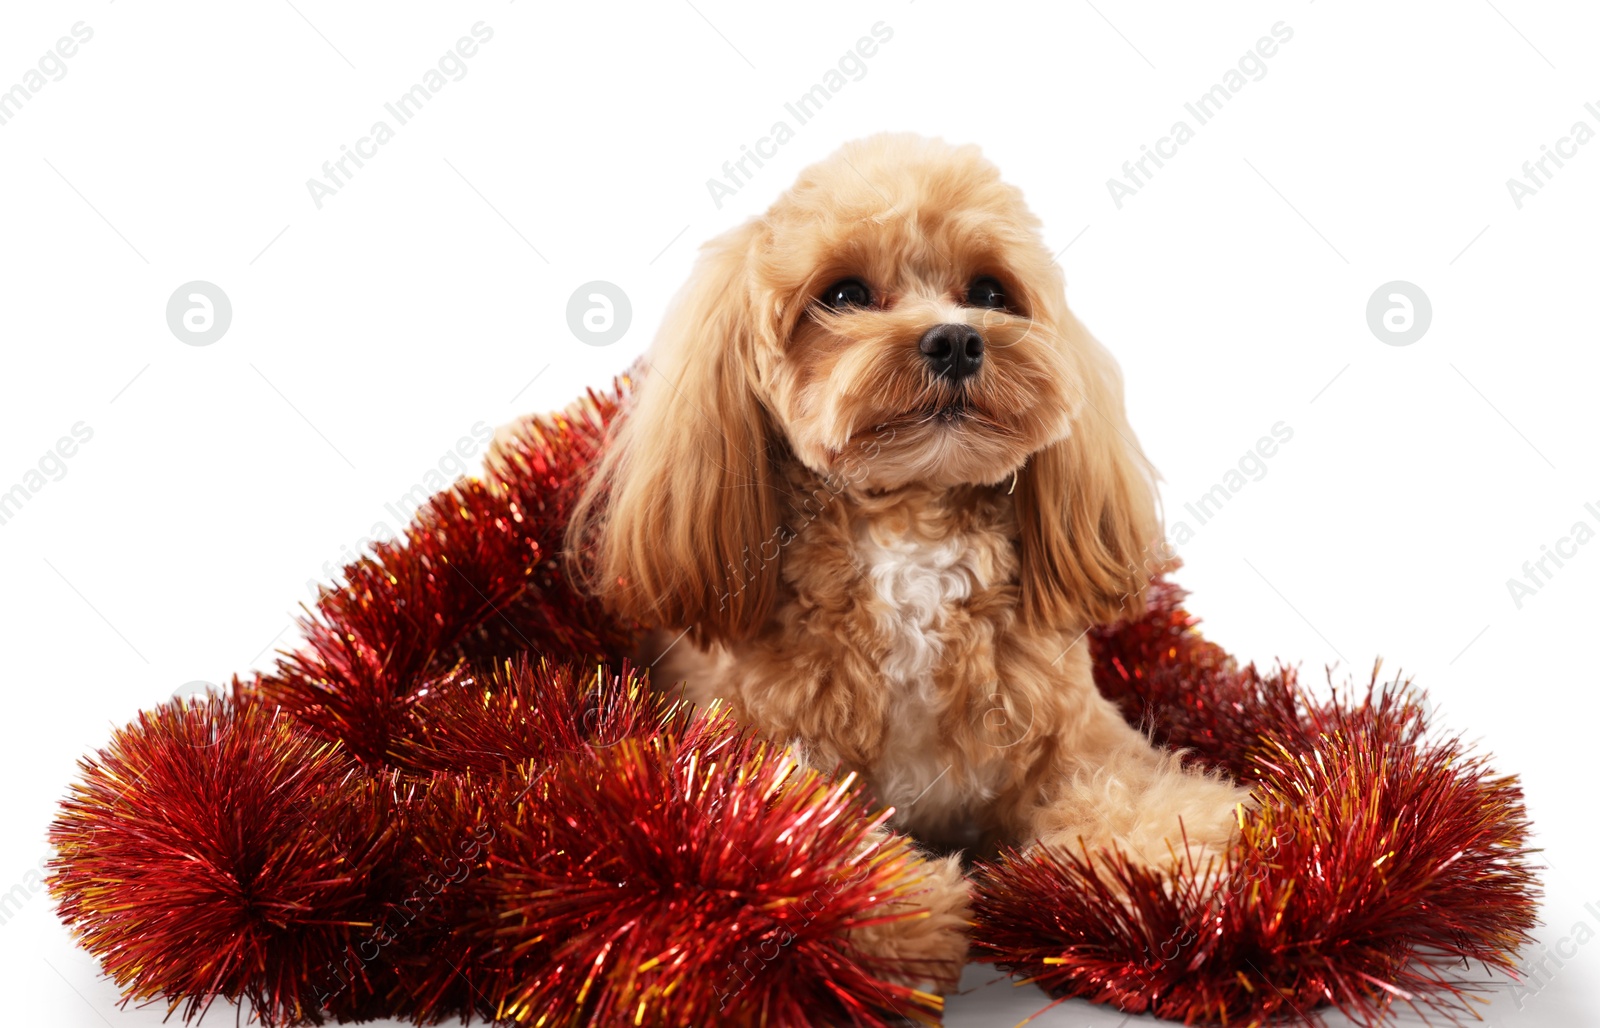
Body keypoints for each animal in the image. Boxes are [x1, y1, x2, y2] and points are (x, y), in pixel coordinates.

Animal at [563, 132, 1248, 986]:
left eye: (989, 290)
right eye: (845, 294)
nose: (956, 338)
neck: (911, 533)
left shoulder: (1078, 741)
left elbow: (1130, 795)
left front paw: (1174, 862)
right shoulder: (755, 754)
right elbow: (792, 830)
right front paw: (898, 904)